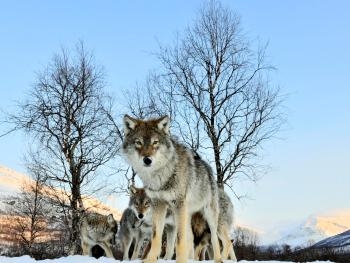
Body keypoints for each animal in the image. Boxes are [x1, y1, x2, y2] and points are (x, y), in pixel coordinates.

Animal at [123, 116, 221, 263]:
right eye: (138, 143)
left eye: (155, 142)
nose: (147, 160)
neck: (161, 176)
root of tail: (206, 166)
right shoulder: (158, 204)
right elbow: (156, 237)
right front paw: (150, 259)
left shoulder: (178, 205)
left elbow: (179, 241)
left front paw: (180, 261)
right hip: (186, 216)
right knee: (191, 239)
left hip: (208, 214)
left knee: (214, 239)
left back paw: (219, 259)